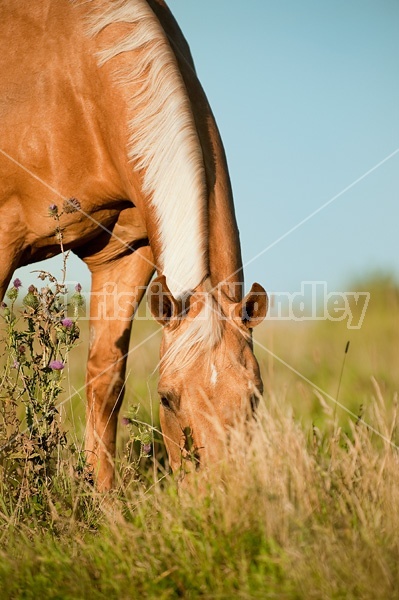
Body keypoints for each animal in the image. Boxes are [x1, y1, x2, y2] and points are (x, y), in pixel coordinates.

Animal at [1, 0, 268, 490]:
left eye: (254, 397)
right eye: (166, 399)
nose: (221, 496)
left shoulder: (126, 256)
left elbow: (106, 378)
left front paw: (102, 497)